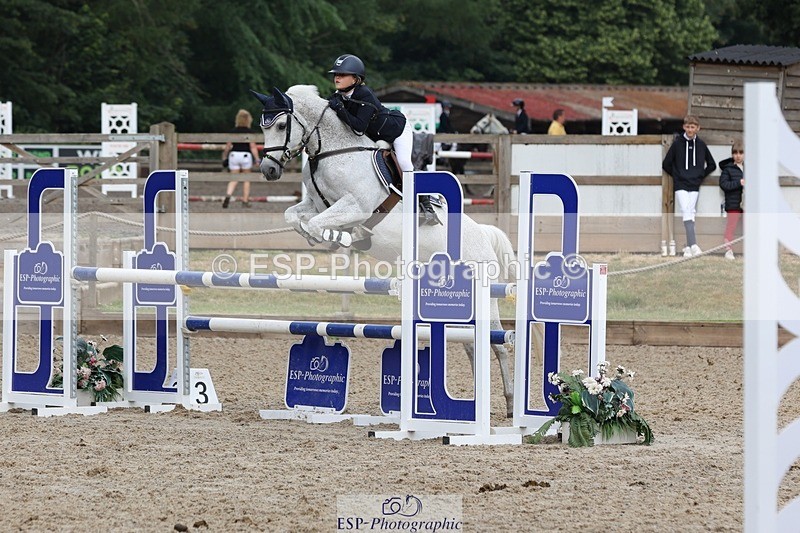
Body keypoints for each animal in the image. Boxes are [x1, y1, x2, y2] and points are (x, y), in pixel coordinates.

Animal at [251, 85, 517, 417]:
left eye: (280, 125)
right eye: (262, 126)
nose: (269, 170)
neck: (333, 151)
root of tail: (482, 234)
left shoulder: (355, 206)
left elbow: (317, 223)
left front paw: (340, 237)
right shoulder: (316, 204)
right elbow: (295, 217)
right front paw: (325, 237)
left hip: (484, 298)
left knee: (498, 344)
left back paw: (509, 403)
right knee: (471, 344)